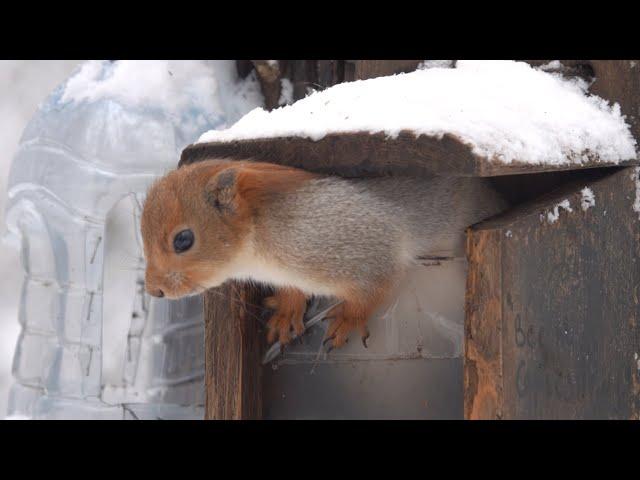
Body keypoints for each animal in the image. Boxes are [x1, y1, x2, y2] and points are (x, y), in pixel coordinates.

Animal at [142, 159, 508, 350]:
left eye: (183, 239)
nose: (154, 290)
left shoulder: (363, 247)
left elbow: (375, 284)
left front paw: (347, 319)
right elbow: (293, 292)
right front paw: (286, 311)